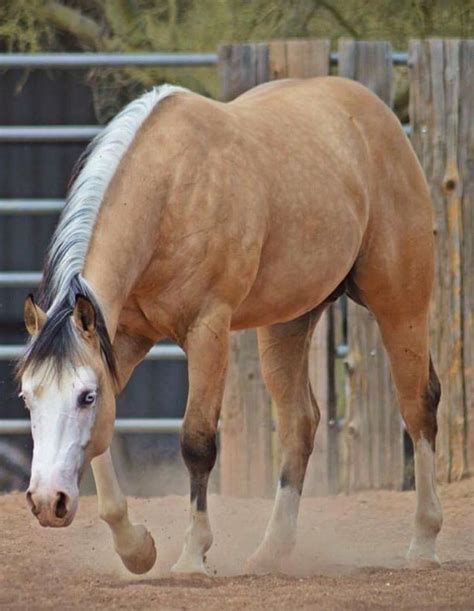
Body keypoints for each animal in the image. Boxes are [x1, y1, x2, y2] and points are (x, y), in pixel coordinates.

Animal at [17, 77, 440, 580]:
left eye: (85, 397)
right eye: (27, 396)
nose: (48, 502)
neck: (171, 191)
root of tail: (376, 115)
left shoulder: (208, 330)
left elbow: (197, 441)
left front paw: (192, 556)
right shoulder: (122, 339)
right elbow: (103, 441)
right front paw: (136, 549)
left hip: (401, 304)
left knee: (418, 406)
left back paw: (423, 542)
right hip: (289, 321)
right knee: (300, 423)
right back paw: (271, 552)